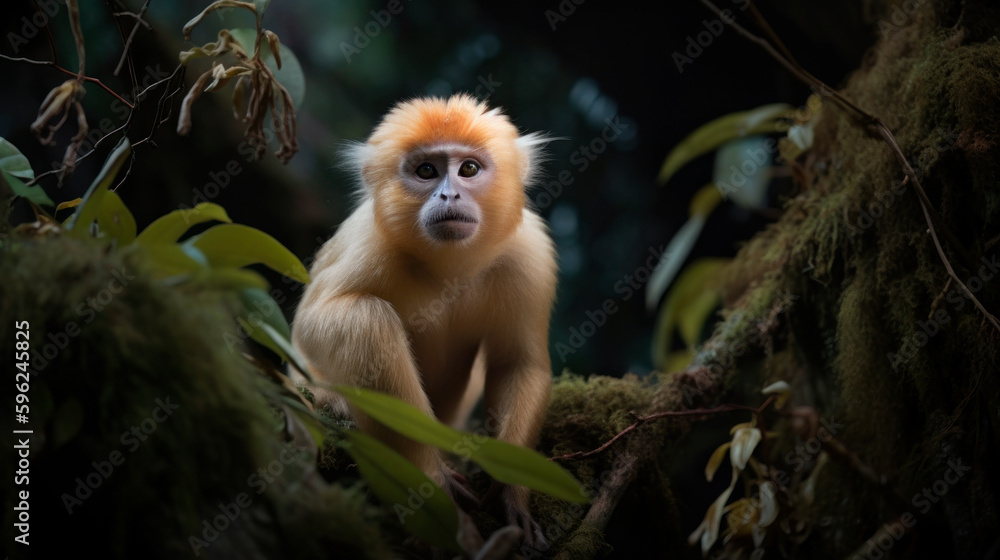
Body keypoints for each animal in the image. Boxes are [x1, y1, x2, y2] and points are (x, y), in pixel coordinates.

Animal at [290, 94, 557, 545]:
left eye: (469, 170)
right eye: (426, 171)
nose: (448, 196)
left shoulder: (528, 253)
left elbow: (518, 361)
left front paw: (511, 491)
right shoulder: (373, 242)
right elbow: (318, 322)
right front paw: (431, 480)